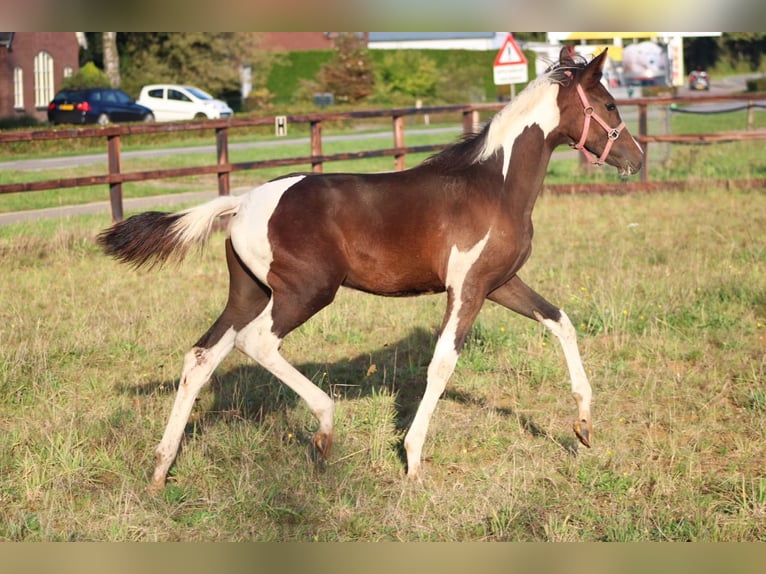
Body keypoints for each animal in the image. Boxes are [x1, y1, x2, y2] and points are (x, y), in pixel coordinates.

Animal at [99, 47, 644, 496]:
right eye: (610, 105)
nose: (636, 159)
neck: (495, 183)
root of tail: (243, 203)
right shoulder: (466, 288)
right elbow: (442, 364)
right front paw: (413, 459)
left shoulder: (500, 283)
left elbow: (560, 321)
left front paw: (584, 426)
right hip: (307, 292)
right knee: (257, 343)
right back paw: (323, 429)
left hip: (249, 293)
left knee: (202, 356)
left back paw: (161, 468)